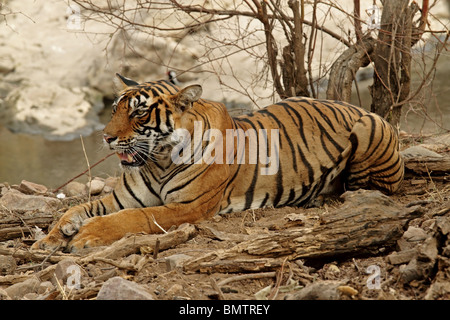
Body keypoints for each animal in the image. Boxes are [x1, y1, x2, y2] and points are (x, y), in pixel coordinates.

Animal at [31, 73, 404, 252]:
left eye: (138, 112)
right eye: (114, 110)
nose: (106, 137)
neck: (159, 160)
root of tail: (354, 105)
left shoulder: (187, 207)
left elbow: (134, 218)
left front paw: (85, 235)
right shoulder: (122, 197)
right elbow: (77, 208)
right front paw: (50, 237)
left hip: (369, 131)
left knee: (373, 187)